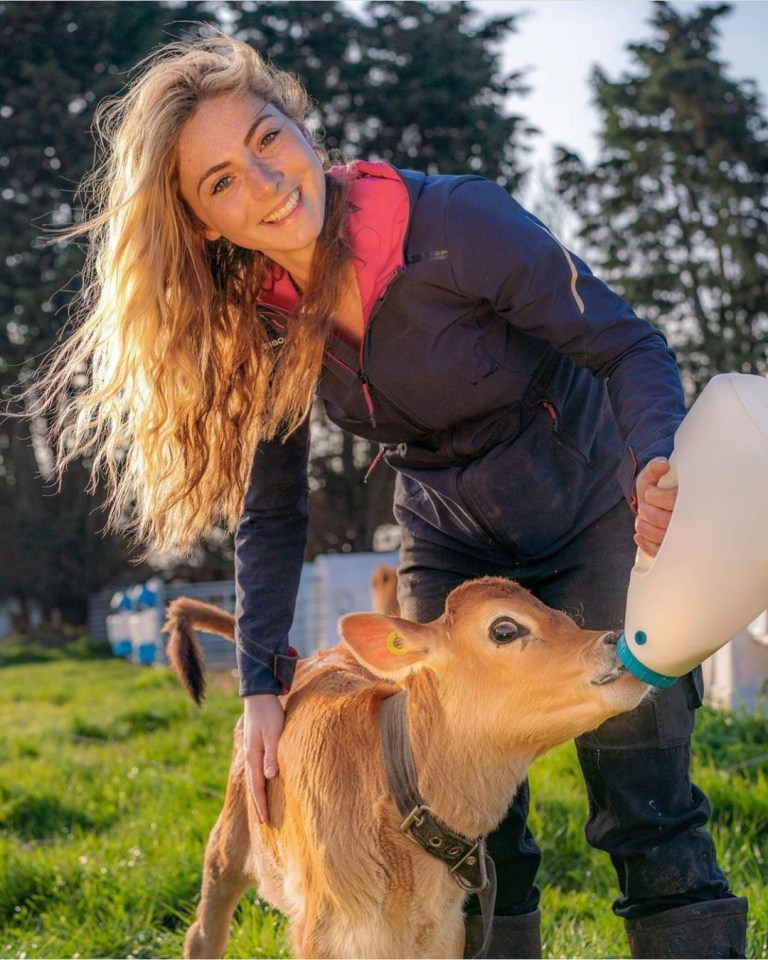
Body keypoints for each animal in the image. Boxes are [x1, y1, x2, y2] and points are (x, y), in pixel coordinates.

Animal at [164, 576, 648, 960]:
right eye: (505, 629)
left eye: (562, 616)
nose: (614, 640)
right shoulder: (320, 934)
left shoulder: (447, 933)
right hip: (229, 841)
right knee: (203, 933)